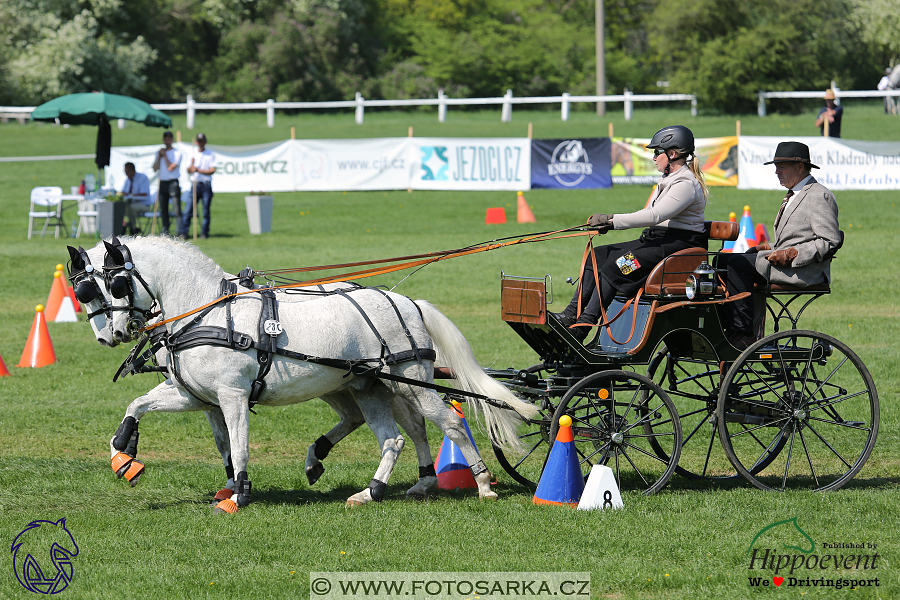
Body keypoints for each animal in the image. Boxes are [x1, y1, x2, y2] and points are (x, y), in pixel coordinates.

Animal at [72, 237, 536, 508]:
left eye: (114, 285)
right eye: (82, 292)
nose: (111, 335)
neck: (205, 311)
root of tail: (407, 302)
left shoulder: (232, 395)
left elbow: (238, 445)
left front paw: (238, 495)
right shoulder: (195, 396)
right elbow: (142, 407)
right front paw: (123, 456)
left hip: (409, 380)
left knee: (448, 423)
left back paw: (484, 483)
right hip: (370, 385)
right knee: (399, 434)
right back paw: (377, 488)